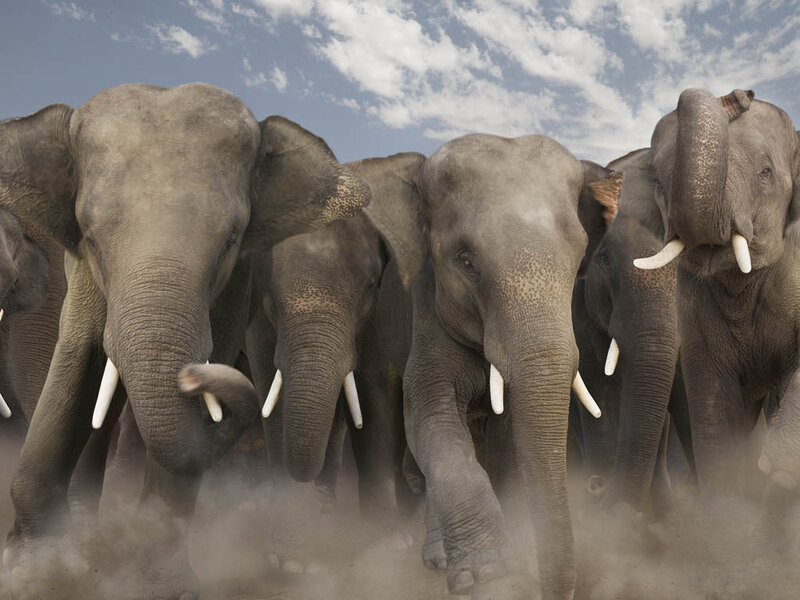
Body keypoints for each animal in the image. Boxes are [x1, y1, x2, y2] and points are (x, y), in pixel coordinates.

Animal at [0, 82, 369, 598]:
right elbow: (76, 360)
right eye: (91, 237)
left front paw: (165, 587)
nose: (194, 377)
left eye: (231, 241)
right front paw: (33, 570)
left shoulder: (239, 282)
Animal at [358, 139, 621, 599]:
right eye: (466, 262)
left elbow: (506, 433)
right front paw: (486, 573)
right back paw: (438, 559)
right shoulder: (425, 311)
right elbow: (430, 417)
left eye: (577, 264)